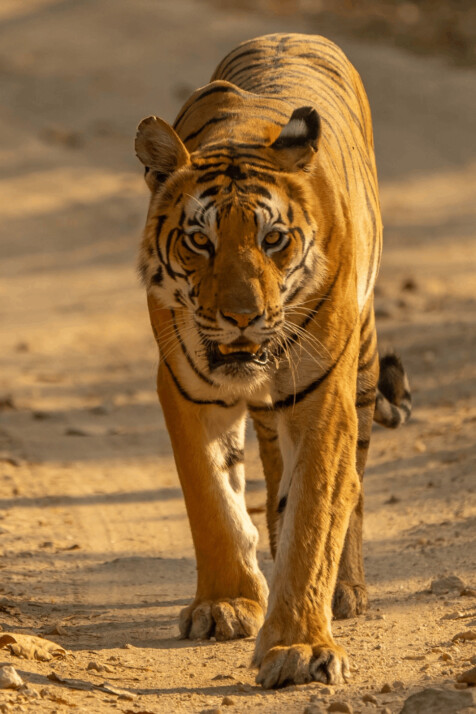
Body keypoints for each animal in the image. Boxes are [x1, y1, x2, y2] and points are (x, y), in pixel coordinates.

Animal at [136, 32, 410, 684]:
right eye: (200, 240)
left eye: (273, 239)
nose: (242, 316)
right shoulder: (185, 388)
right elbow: (211, 497)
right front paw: (226, 603)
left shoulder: (324, 398)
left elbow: (317, 511)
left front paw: (299, 647)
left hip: (363, 366)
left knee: (353, 482)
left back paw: (347, 590)